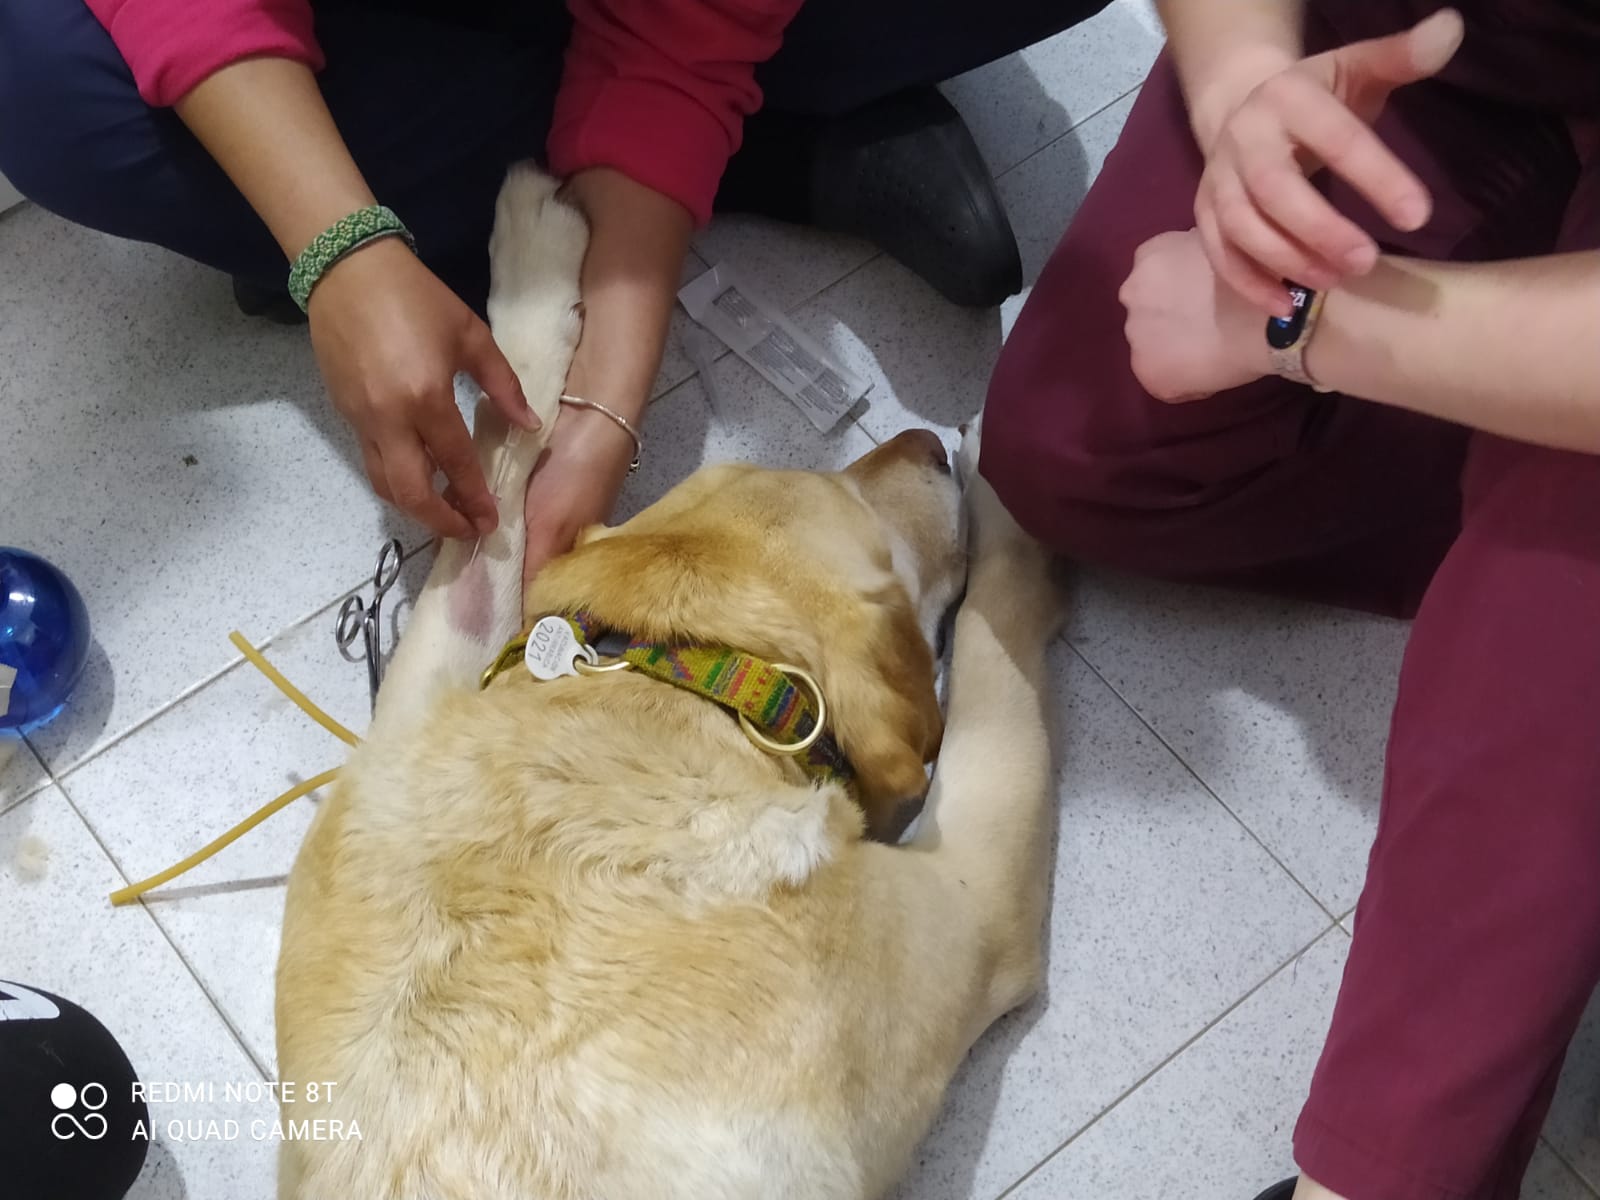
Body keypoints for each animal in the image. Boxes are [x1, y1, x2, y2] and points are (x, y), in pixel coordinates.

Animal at [274, 165, 1065, 1199]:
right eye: (866, 522)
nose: (926, 444)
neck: (687, 688)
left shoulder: (426, 706)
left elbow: (495, 485)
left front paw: (531, 273)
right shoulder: (974, 898)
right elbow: (993, 640)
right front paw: (1021, 464)